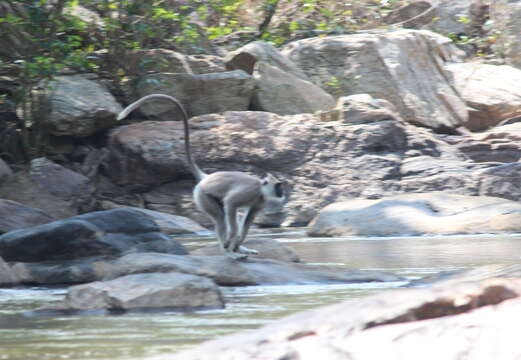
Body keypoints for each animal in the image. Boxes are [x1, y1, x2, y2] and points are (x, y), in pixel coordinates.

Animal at [118, 94, 286, 260]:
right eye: (279, 186)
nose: (282, 193)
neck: (260, 189)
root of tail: (206, 177)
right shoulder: (250, 191)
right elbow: (231, 204)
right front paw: (231, 243)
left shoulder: (260, 201)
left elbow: (248, 219)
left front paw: (238, 244)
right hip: (201, 195)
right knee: (221, 217)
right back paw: (228, 253)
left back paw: (238, 249)